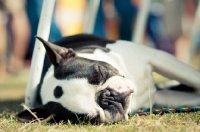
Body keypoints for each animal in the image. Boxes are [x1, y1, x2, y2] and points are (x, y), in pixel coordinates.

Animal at [16, 33, 200, 124]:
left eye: (99, 72)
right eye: (92, 119)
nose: (106, 97)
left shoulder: (157, 57)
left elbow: (193, 77)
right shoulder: (160, 98)